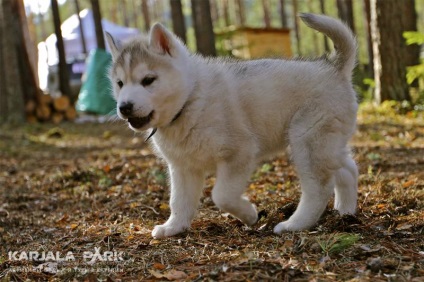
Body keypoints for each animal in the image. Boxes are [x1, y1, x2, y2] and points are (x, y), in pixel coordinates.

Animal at [105, 12, 358, 238]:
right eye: (120, 83)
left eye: (148, 80)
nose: (124, 107)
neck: (190, 100)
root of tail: (333, 68)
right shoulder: (182, 166)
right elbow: (178, 200)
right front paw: (174, 227)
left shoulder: (239, 152)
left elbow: (222, 195)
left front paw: (249, 215)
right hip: (327, 141)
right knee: (347, 168)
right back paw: (345, 212)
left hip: (307, 140)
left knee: (318, 187)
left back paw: (295, 224)